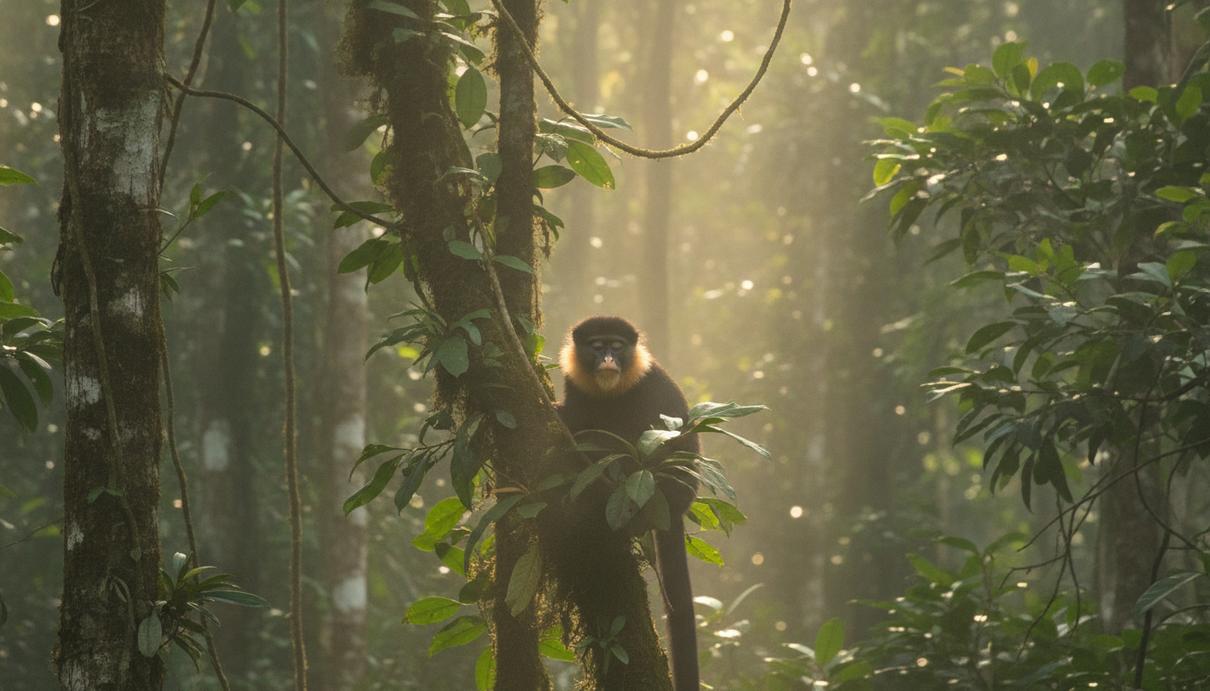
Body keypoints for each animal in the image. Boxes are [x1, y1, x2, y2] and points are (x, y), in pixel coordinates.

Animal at [556, 315, 700, 691]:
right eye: (597, 346)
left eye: (617, 346)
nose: (608, 359)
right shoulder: (574, 381)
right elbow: (575, 411)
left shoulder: (649, 385)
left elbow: (640, 434)